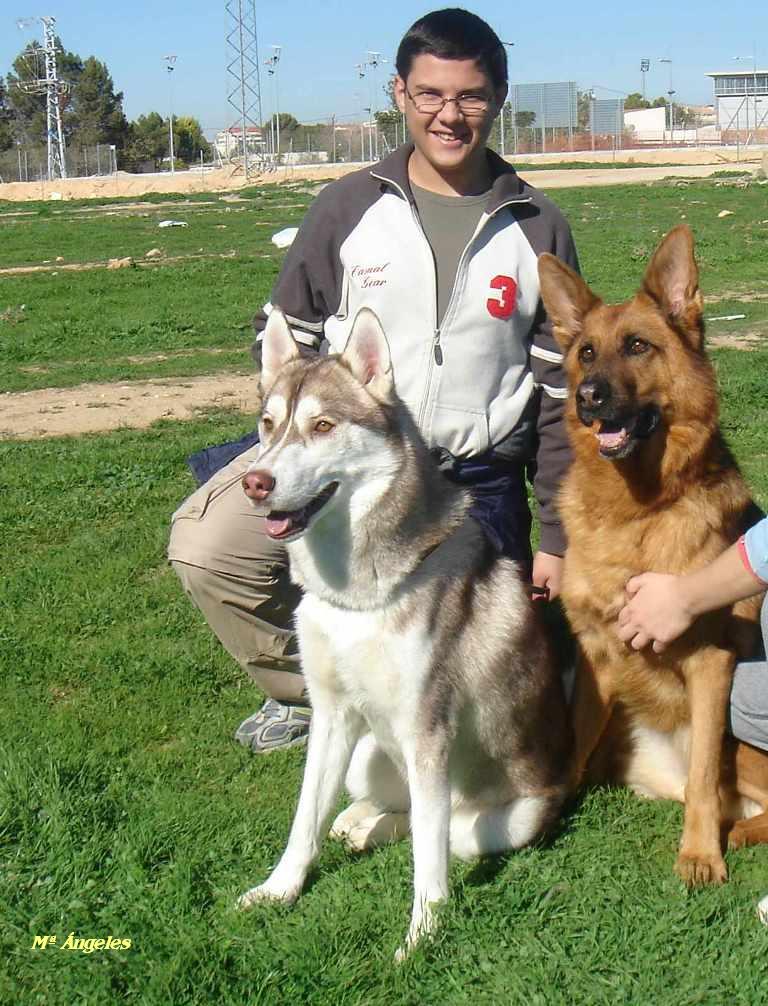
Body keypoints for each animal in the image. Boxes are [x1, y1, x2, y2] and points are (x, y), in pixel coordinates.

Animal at [238, 305, 571, 957]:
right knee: (383, 807)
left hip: (512, 815)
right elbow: (304, 820)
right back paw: (357, 822)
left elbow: (429, 854)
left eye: (321, 425)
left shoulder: (428, 733)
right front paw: (280, 888)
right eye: (268, 425)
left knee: (441, 828)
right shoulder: (331, 715)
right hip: (367, 752)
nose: (255, 482)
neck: (355, 597)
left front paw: (422, 937)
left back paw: (373, 829)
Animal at [539, 224, 764, 885]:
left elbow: (701, 782)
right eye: (587, 353)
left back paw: (735, 832)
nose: (587, 398)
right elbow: (573, 745)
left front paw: (700, 854)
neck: (634, 513)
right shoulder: (596, 658)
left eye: (638, 346)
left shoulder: (711, 667)